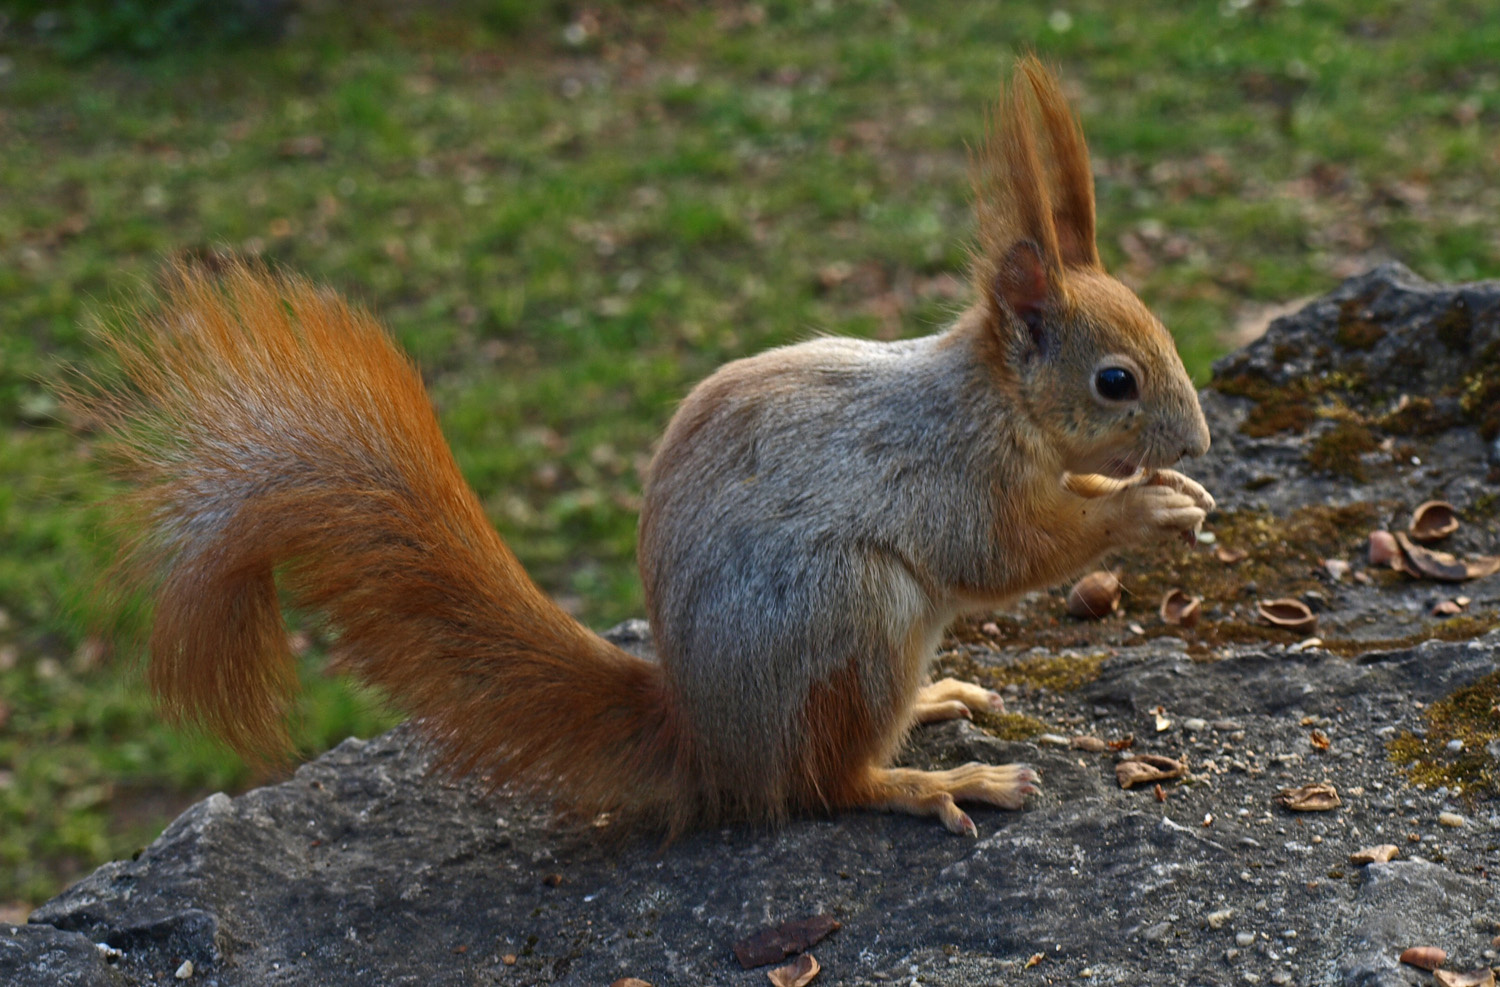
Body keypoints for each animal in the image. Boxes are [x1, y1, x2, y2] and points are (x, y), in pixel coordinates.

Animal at [79, 57, 1206, 834]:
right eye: (1116, 380)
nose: (1196, 438)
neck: (995, 400)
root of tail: (708, 745)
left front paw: (1168, 490)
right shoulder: (952, 474)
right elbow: (1010, 552)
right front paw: (1144, 506)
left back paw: (934, 701)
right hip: (851, 617)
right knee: (821, 785)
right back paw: (937, 780)